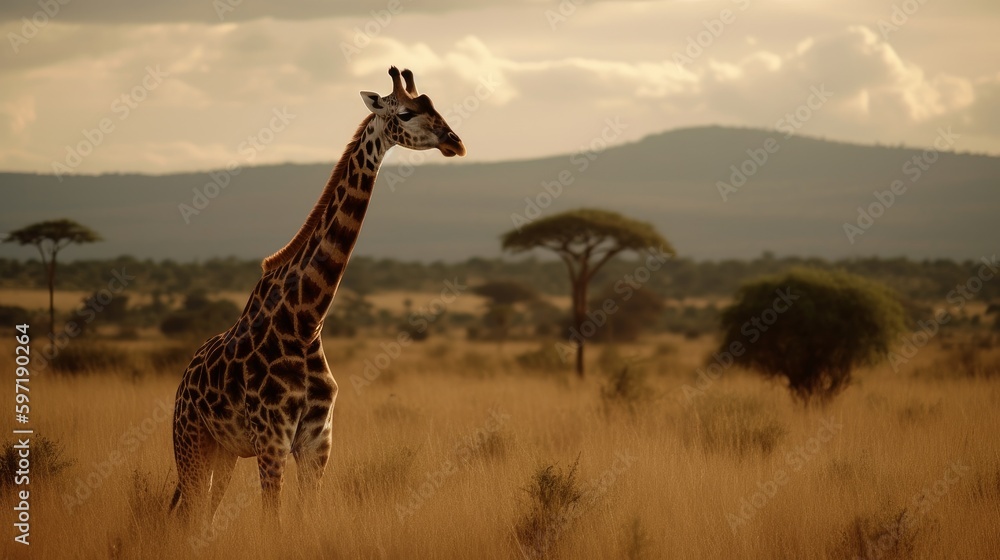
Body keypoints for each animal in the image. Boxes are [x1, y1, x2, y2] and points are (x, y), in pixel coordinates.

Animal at [170, 66, 465, 525]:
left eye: (434, 105)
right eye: (406, 113)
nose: (455, 141)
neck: (305, 321)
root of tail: (182, 382)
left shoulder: (317, 441)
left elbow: (306, 522)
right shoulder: (272, 439)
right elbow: (272, 524)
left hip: (223, 452)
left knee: (203, 517)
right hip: (191, 443)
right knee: (190, 515)